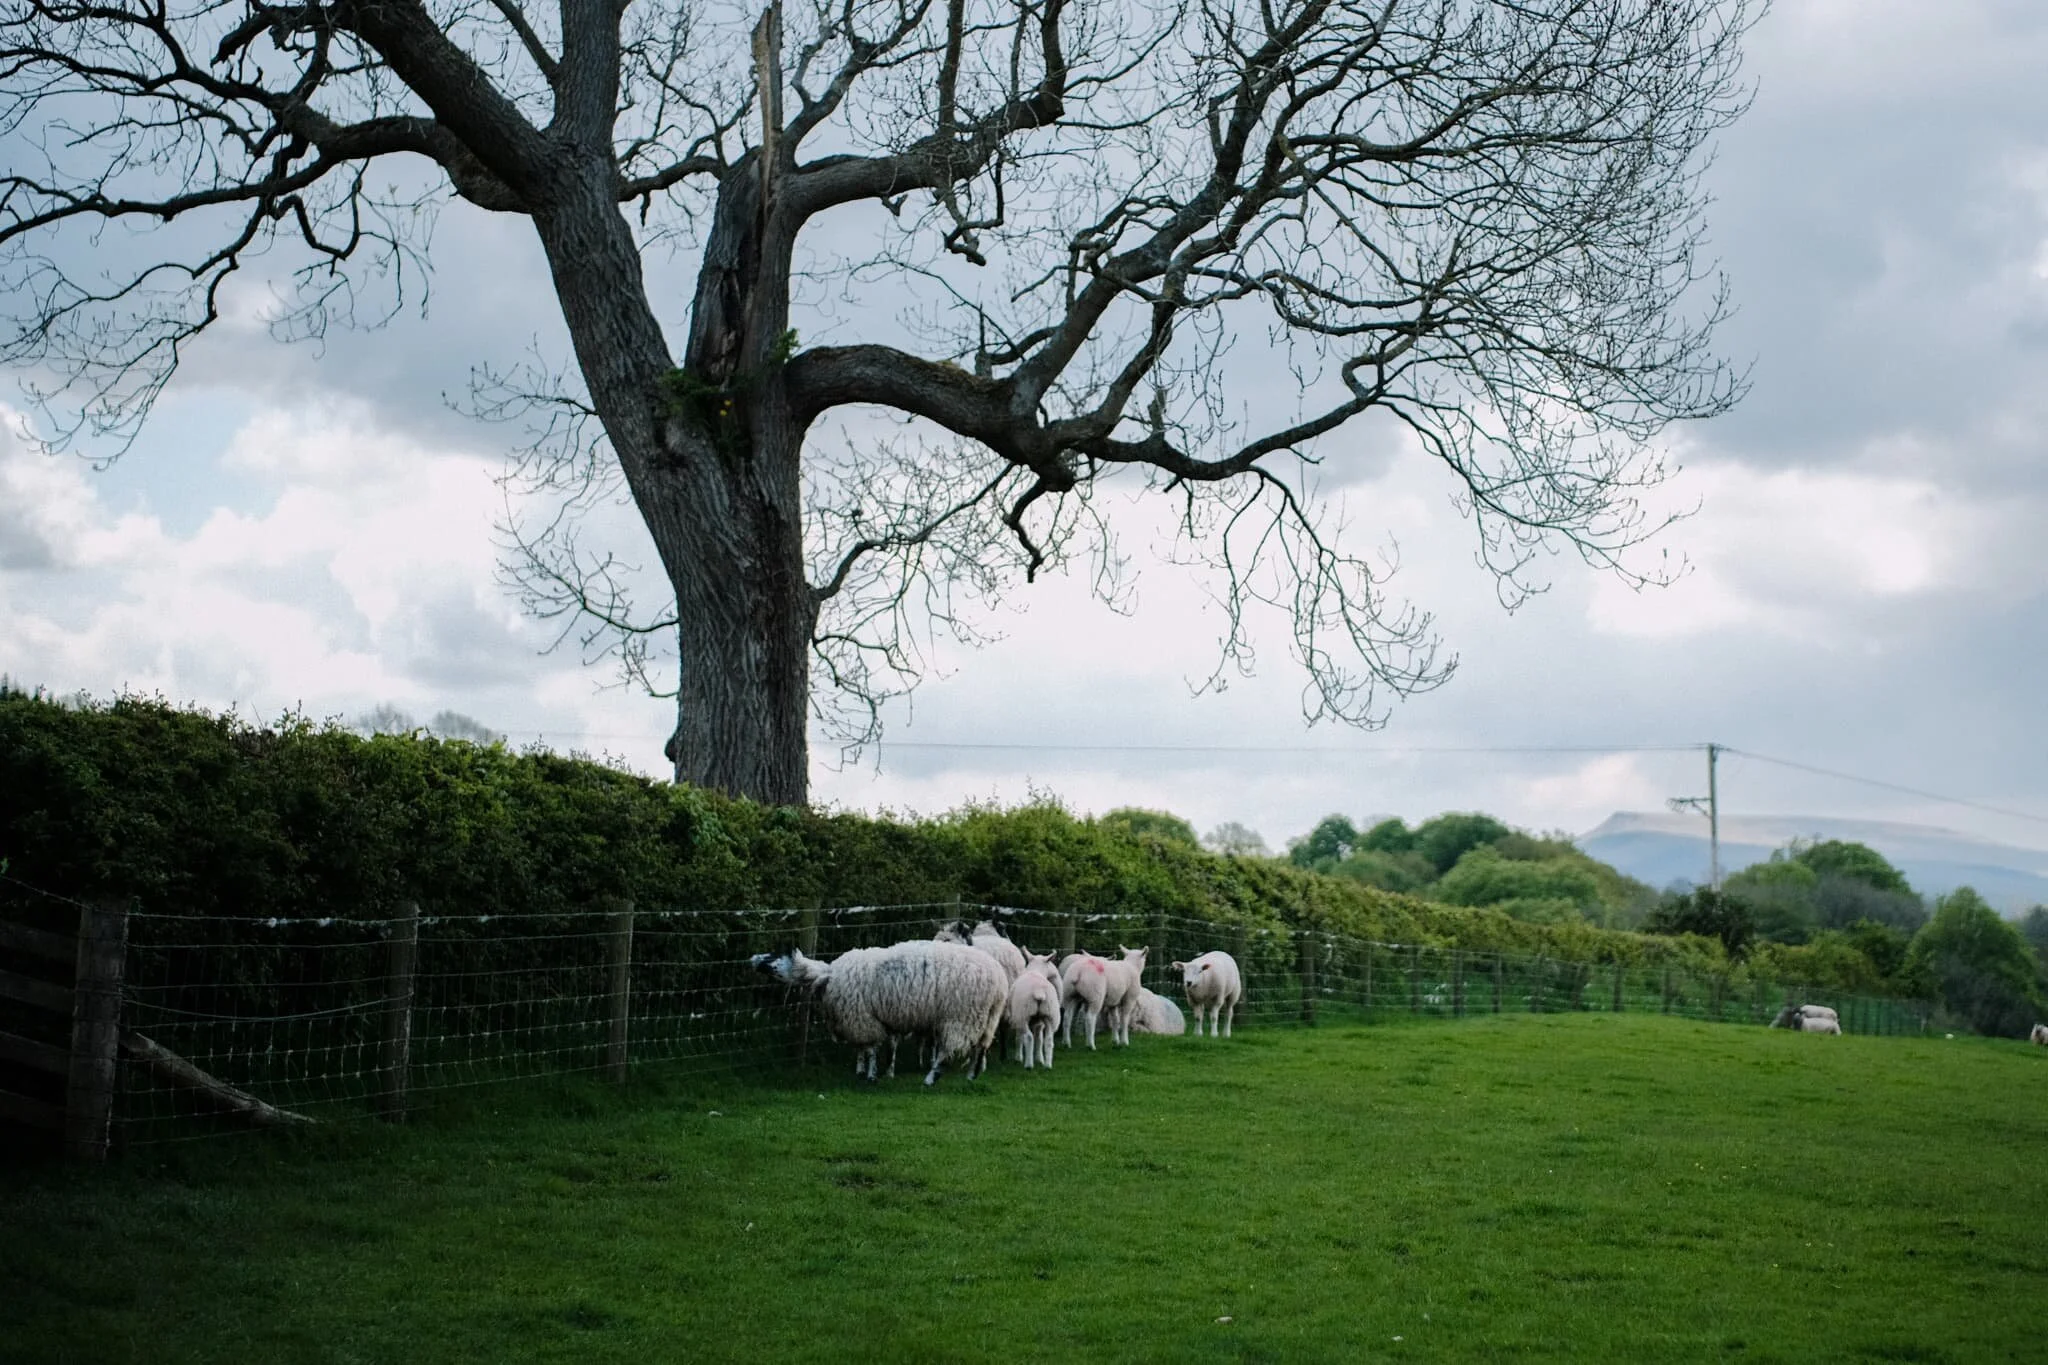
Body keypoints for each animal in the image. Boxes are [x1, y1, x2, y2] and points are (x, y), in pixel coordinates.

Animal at [753, 939, 1007, 1085]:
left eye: (774, 956)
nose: (752, 958)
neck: (825, 975)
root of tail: (999, 981)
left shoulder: (862, 1019)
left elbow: (870, 1049)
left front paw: (871, 1076)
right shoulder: (867, 1020)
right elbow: (868, 1049)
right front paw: (865, 1072)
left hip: (961, 1017)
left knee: (947, 1051)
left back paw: (930, 1079)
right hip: (986, 1019)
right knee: (981, 1048)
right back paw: (972, 1076)